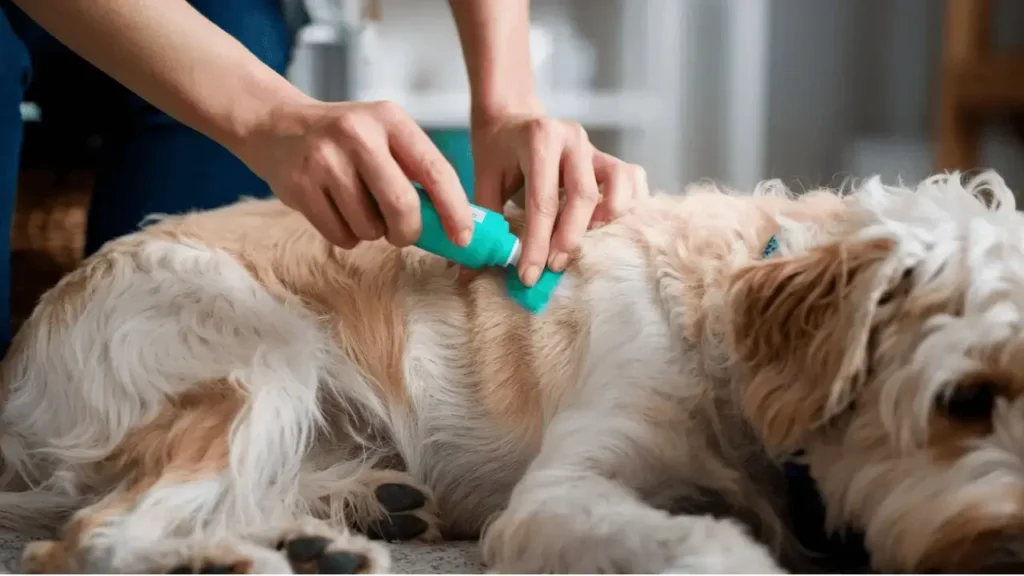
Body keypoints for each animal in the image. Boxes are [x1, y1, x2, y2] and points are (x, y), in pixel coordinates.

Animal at [2, 168, 1024, 569]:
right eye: (965, 400)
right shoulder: (564, 496)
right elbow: (701, 543)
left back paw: (342, 527)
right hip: (263, 365)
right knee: (84, 540)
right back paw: (224, 558)